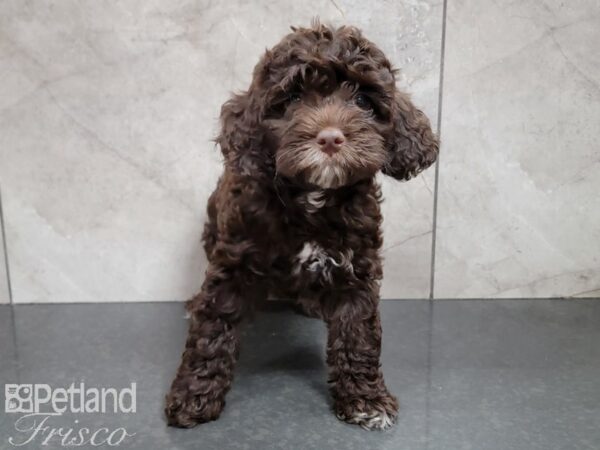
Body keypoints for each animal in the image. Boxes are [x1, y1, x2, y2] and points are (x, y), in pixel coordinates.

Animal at [164, 22, 436, 430]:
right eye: (292, 98)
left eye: (363, 101)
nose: (330, 138)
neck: (311, 198)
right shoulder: (232, 262)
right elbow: (212, 326)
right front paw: (194, 395)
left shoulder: (357, 268)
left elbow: (359, 333)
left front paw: (366, 400)